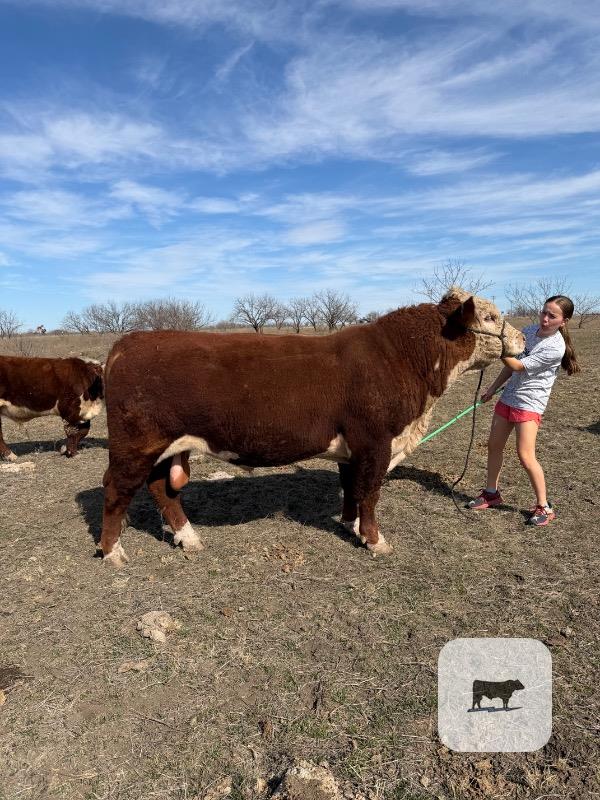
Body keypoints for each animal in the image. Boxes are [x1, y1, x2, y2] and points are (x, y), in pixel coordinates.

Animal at [98, 288, 524, 567]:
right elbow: (371, 493)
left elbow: (352, 489)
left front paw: (351, 525)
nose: (521, 337)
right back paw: (113, 552)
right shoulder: (376, 442)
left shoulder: (353, 449)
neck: (402, 358)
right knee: (116, 489)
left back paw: (189, 539)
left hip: (165, 446)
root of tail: (128, 343)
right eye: (489, 317)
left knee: (162, 490)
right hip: (136, 444)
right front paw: (376, 541)